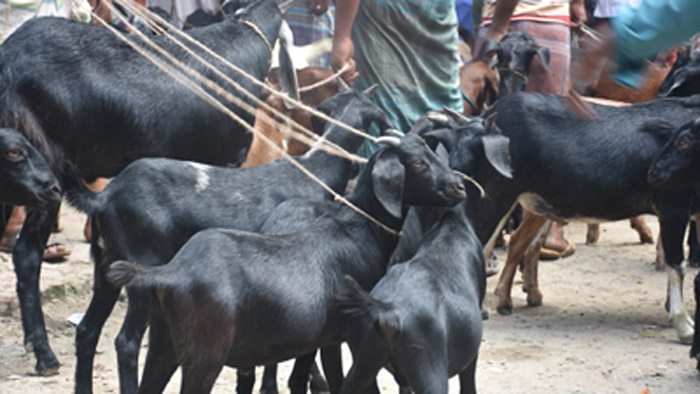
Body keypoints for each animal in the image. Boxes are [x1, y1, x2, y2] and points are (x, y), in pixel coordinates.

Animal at [67, 89, 388, 394]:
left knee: (87, 330)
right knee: (127, 342)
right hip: (141, 267)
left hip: (106, 268)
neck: (314, 171)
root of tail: (106, 195)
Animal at [104, 133, 464, 394]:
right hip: (205, 353)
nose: (459, 186)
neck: (358, 228)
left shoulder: (319, 339)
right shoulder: (352, 333)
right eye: (417, 162)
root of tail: (171, 272)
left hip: (163, 344)